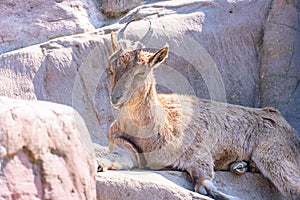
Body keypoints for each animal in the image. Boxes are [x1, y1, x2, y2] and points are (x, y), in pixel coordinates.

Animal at [97, 31, 298, 200]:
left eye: (141, 72)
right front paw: (98, 165)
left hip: (273, 153)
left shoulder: (198, 152)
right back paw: (239, 166)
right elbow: (114, 158)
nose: (116, 98)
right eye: (110, 70)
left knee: (293, 185)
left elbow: (203, 186)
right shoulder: (125, 148)